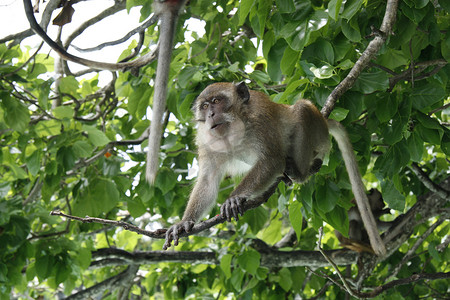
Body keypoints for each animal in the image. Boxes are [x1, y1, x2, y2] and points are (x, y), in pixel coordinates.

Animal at [162, 82, 386, 255]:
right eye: (205, 105)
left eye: (217, 101)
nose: (211, 114)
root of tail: (324, 120)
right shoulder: (206, 141)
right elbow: (208, 181)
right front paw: (184, 223)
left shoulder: (260, 120)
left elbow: (272, 161)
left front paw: (234, 198)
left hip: (318, 134)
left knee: (302, 109)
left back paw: (300, 172)